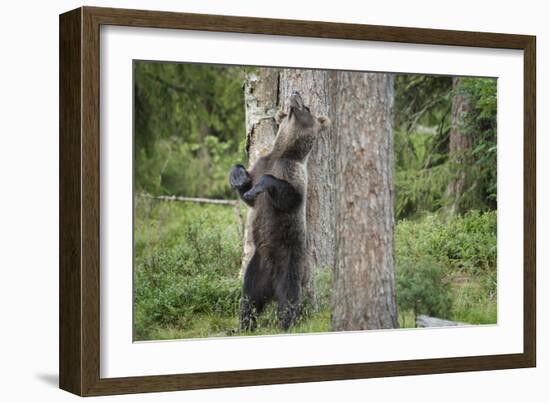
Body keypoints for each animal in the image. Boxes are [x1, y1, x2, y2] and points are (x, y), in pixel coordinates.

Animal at [230, 92, 330, 332]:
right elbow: (247, 194)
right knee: (248, 298)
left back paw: (286, 323)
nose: (295, 93)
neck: (283, 152)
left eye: (307, 108)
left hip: (291, 262)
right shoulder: (261, 164)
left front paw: (259, 188)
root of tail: (271, 286)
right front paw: (239, 176)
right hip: (255, 268)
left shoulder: (293, 174)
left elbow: (288, 196)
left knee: (289, 298)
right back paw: (243, 325)